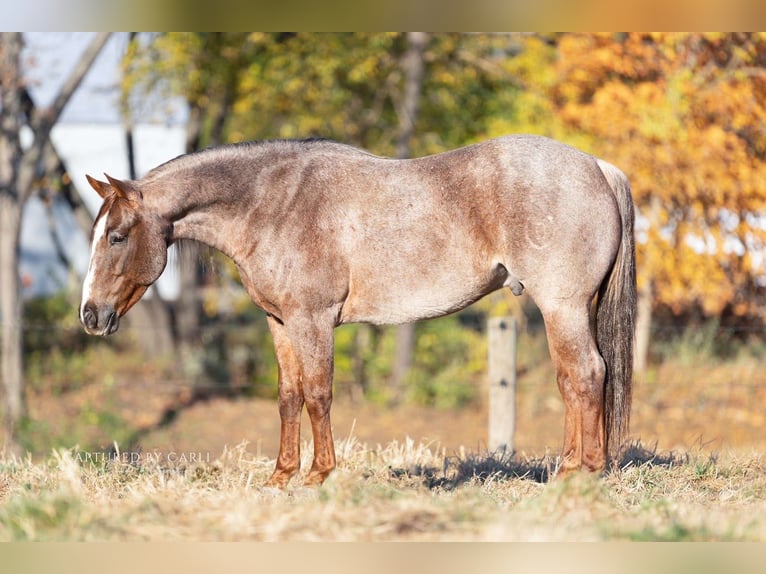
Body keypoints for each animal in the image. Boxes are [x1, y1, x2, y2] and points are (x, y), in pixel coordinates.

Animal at [81, 136, 640, 490]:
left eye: (117, 237)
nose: (90, 315)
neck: (273, 204)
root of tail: (598, 167)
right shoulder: (280, 323)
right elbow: (288, 397)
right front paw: (280, 477)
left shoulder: (313, 320)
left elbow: (318, 393)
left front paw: (319, 475)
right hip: (566, 310)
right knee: (572, 380)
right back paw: (568, 468)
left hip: (561, 306)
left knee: (587, 375)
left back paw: (583, 474)